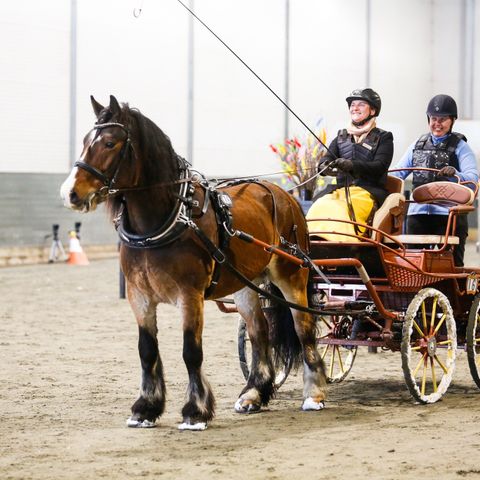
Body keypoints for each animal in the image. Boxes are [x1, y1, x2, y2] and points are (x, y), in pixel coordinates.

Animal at [60, 95, 326, 430]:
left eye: (109, 142)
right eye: (85, 141)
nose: (70, 193)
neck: (165, 221)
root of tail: (284, 195)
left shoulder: (190, 295)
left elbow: (191, 352)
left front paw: (195, 412)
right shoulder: (139, 296)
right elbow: (147, 351)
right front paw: (145, 409)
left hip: (292, 276)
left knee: (304, 328)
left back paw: (314, 395)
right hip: (246, 284)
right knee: (258, 332)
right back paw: (252, 395)